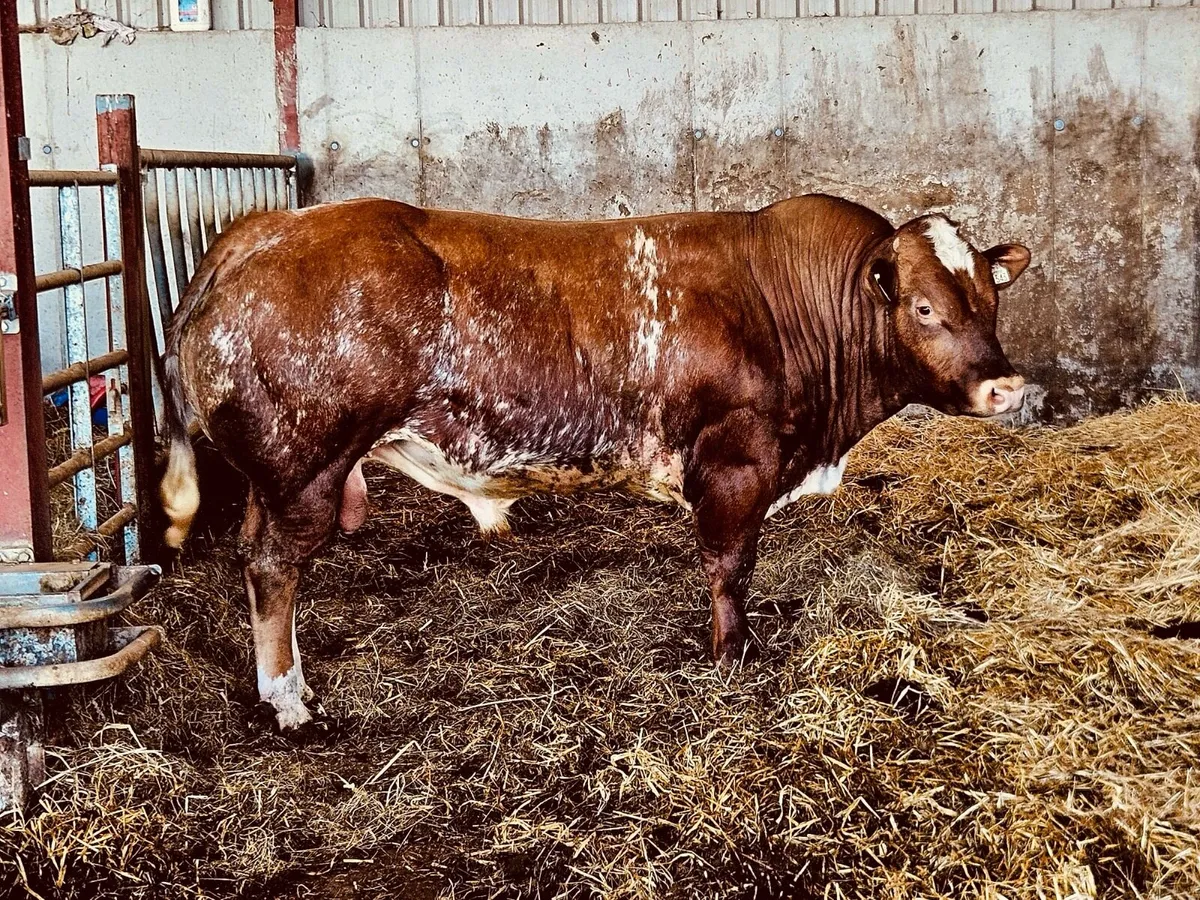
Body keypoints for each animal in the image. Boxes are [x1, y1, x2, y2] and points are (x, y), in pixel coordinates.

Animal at [159, 194, 1030, 730]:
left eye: (991, 301)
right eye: (924, 307)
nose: (1006, 385)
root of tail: (266, 226)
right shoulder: (735, 461)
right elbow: (730, 567)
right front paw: (731, 656)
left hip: (277, 475)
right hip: (304, 467)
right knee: (272, 568)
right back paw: (288, 700)